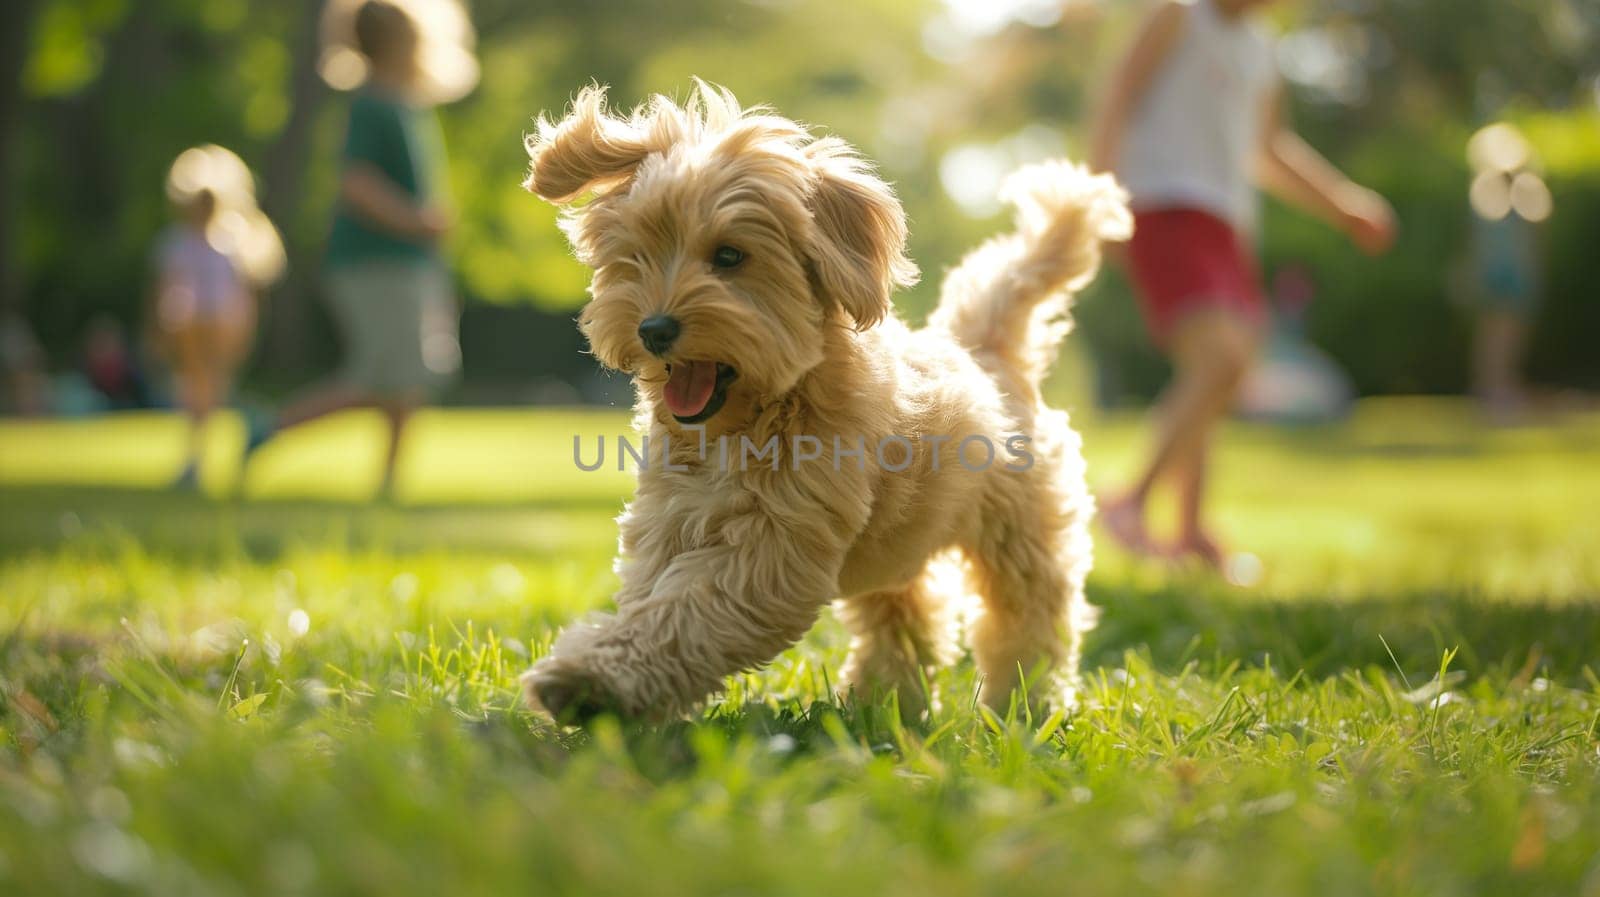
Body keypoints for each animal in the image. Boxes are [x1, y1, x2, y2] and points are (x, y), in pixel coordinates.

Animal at [518, 82, 1132, 719]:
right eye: (635, 255)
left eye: (729, 256)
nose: (654, 329)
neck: (755, 415)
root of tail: (985, 350)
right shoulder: (670, 521)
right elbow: (653, 603)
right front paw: (606, 683)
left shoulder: (770, 549)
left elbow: (684, 615)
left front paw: (593, 682)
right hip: (896, 545)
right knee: (905, 615)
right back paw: (885, 701)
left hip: (1022, 536)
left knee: (1027, 617)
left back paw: (1022, 705)